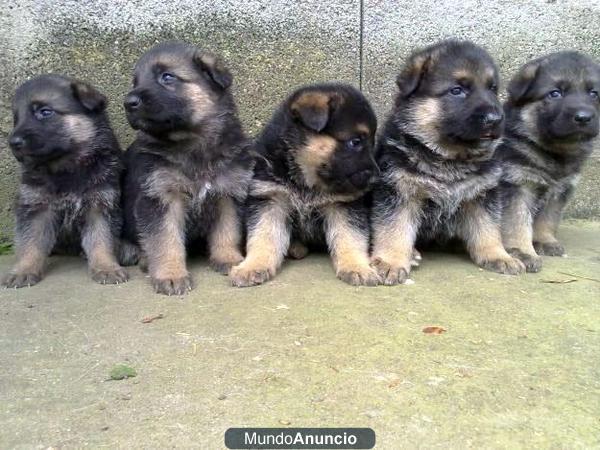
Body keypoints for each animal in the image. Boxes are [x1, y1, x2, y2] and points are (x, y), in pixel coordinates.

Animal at [0, 74, 127, 288]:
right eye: (16, 118)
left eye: (45, 112)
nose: (13, 143)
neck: (65, 168)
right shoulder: (37, 208)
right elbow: (30, 242)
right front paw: (24, 270)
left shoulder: (100, 205)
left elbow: (102, 239)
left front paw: (106, 267)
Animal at [120, 41, 252, 296]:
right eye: (135, 82)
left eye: (167, 77)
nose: (128, 103)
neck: (192, 143)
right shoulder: (161, 197)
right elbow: (165, 240)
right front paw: (171, 275)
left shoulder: (227, 193)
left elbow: (227, 230)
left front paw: (228, 258)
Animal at [231, 83, 380, 288]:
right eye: (355, 142)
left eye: (373, 143)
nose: (376, 178)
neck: (307, 181)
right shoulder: (270, 199)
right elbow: (263, 236)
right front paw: (252, 266)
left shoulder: (343, 206)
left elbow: (350, 237)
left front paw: (357, 267)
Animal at [370, 39, 524, 284]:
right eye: (457, 91)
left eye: (492, 88)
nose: (495, 119)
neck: (448, 158)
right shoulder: (400, 191)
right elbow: (394, 229)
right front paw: (390, 262)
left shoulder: (482, 194)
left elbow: (488, 229)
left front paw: (498, 255)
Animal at [496, 51, 600, 268]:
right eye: (555, 93)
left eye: (594, 93)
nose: (584, 117)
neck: (553, 151)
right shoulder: (517, 185)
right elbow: (517, 222)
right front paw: (523, 252)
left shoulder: (560, 191)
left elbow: (548, 220)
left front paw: (544, 241)